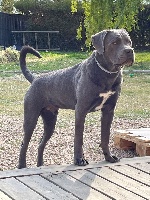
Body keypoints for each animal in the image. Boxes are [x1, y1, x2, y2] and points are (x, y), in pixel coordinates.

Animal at [18, 28, 134, 169]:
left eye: (129, 41)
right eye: (115, 42)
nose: (130, 51)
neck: (107, 73)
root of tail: (35, 79)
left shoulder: (108, 111)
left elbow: (105, 137)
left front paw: (109, 157)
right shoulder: (81, 110)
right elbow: (79, 138)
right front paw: (79, 160)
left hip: (50, 121)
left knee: (41, 144)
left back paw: (40, 165)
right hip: (31, 118)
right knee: (24, 144)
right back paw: (22, 167)